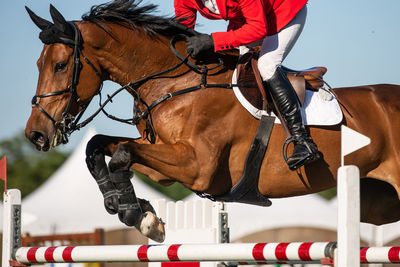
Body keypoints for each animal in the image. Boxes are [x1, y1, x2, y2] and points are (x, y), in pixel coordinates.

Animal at [24, 0, 400, 243]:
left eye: (60, 65)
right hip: (378, 204)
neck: (176, 83)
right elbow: (100, 147)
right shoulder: (164, 165)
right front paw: (135, 209)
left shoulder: (197, 167)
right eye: (38, 64)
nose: (36, 135)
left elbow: (121, 155)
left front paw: (136, 212)